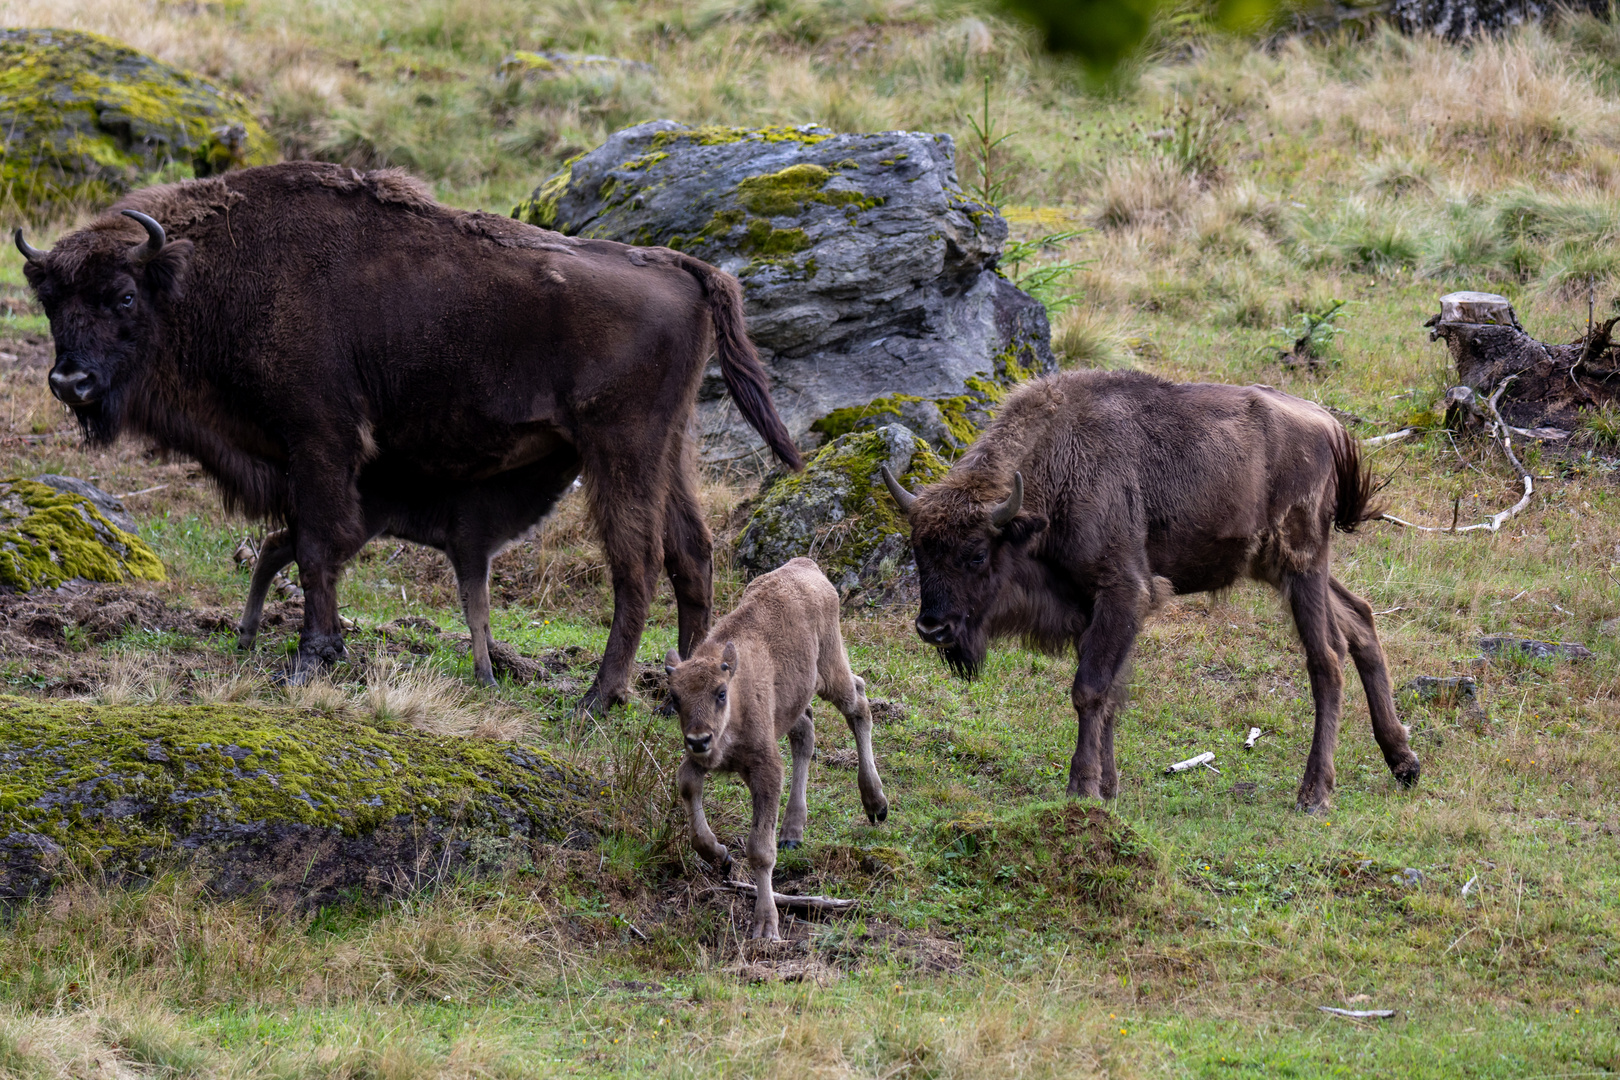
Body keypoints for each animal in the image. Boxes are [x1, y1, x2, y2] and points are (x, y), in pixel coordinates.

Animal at [12, 160, 797, 709]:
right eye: (51, 302)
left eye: (122, 296)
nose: (70, 381)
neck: (203, 274)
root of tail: (686, 268)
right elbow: (308, 547)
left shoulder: (321, 442)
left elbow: (317, 547)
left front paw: (312, 656)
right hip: (671, 448)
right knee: (692, 556)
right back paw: (682, 701)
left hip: (619, 450)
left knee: (637, 568)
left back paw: (597, 700)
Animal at [657, 563, 887, 939]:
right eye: (675, 698)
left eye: (720, 693)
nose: (699, 739)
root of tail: (806, 565)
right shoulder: (699, 762)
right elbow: (689, 790)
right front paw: (720, 856)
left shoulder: (765, 769)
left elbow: (760, 849)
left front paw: (766, 926)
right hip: (795, 701)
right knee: (806, 733)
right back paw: (793, 831)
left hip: (832, 672)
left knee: (859, 703)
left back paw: (876, 803)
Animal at [881, 369, 1425, 809]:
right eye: (918, 551)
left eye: (976, 554)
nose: (932, 628)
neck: (1057, 466)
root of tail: (1329, 425)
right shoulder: (1091, 608)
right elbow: (1109, 694)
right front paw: (1109, 787)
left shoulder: (1124, 592)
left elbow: (1089, 689)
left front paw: (1081, 789)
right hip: (1279, 568)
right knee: (1360, 619)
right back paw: (1403, 762)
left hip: (1303, 563)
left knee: (1326, 660)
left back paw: (1314, 795)